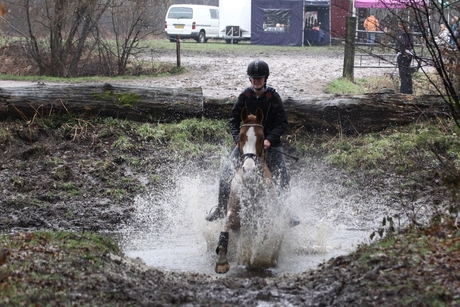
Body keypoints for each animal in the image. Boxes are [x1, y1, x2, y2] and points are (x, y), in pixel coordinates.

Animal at [215, 107, 284, 276]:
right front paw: (221, 262)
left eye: (261, 137)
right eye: (240, 136)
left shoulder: (262, 218)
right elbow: (226, 225)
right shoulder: (235, 215)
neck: (252, 185)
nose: (249, 169)